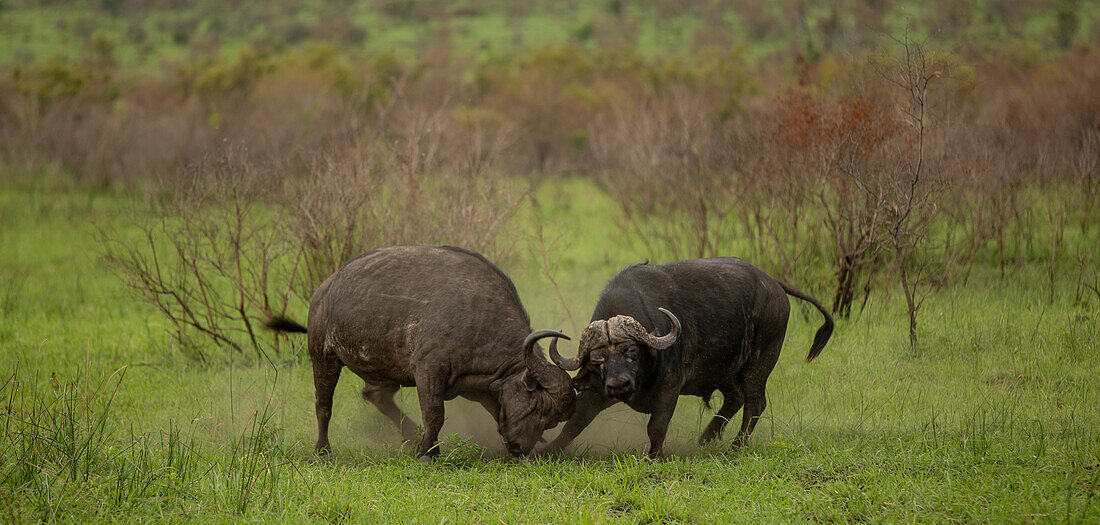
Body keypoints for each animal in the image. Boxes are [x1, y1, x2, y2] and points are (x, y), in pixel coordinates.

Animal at [268, 243, 576, 460]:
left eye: (550, 421)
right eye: (537, 405)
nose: (519, 446)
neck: (480, 317)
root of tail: (324, 289)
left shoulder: (479, 384)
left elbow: (494, 409)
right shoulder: (428, 369)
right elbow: (434, 413)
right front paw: (428, 454)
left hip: (386, 368)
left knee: (375, 396)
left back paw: (411, 434)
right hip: (323, 357)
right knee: (324, 406)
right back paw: (323, 451)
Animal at [541, 255, 831, 455]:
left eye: (631, 350)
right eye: (597, 360)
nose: (620, 384)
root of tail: (772, 283)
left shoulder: (670, 385)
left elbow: (656, 425)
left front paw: (653, 456)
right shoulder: (598, 390)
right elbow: (576, 422)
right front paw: (548, 450)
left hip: (760, 362)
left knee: (755, 403)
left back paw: (736, 447)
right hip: (722, 370)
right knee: (735, 398)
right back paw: (705, 439)